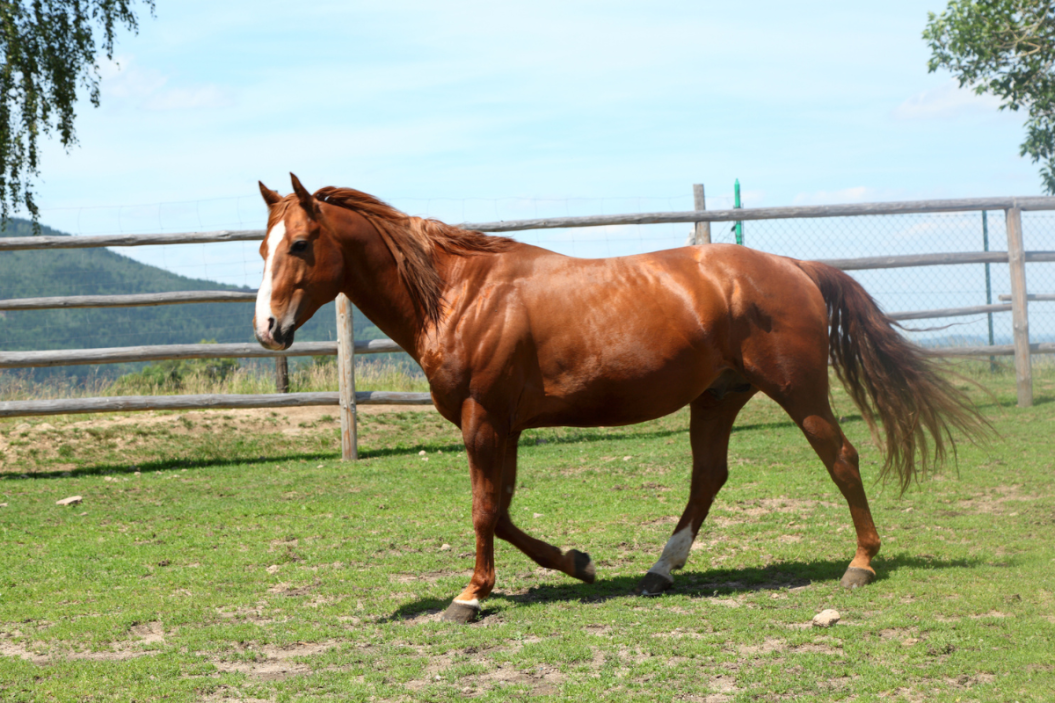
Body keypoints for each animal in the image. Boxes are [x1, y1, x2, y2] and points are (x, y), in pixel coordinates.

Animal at [253, 174, 986, 623]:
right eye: (262, 247)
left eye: (301, 244)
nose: (268, 329)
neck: (460, 294)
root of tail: (797, 269)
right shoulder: (505, 426)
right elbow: (504, 511)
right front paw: (577, 563)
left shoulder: (483, 419)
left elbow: (484, 511)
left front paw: (469, 596)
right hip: (717, 398)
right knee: (708, 477)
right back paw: (660, 570)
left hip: (797, 391)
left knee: (842, 459)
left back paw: (860, 563)